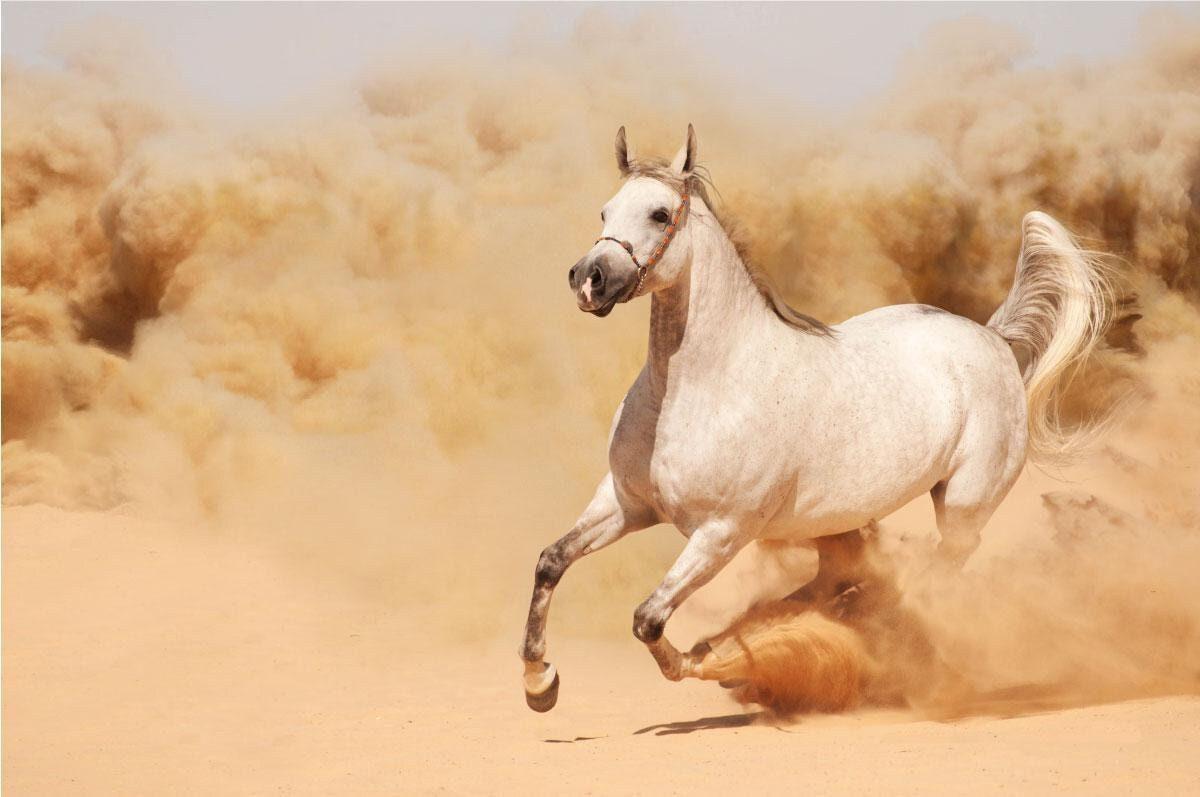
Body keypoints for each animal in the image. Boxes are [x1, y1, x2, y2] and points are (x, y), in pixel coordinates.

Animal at [519, 124, 1112, 712]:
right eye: (605, 211)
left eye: (660, 214)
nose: (589, 279)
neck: (700, 389)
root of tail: (992, 339)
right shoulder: (626, 503)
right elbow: (551, 560)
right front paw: (539, 682)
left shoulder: (721, 533)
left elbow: (649, 619)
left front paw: (706, 661)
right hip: (844, 522)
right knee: (844, 579)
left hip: (963, 507)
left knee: (931, 576)